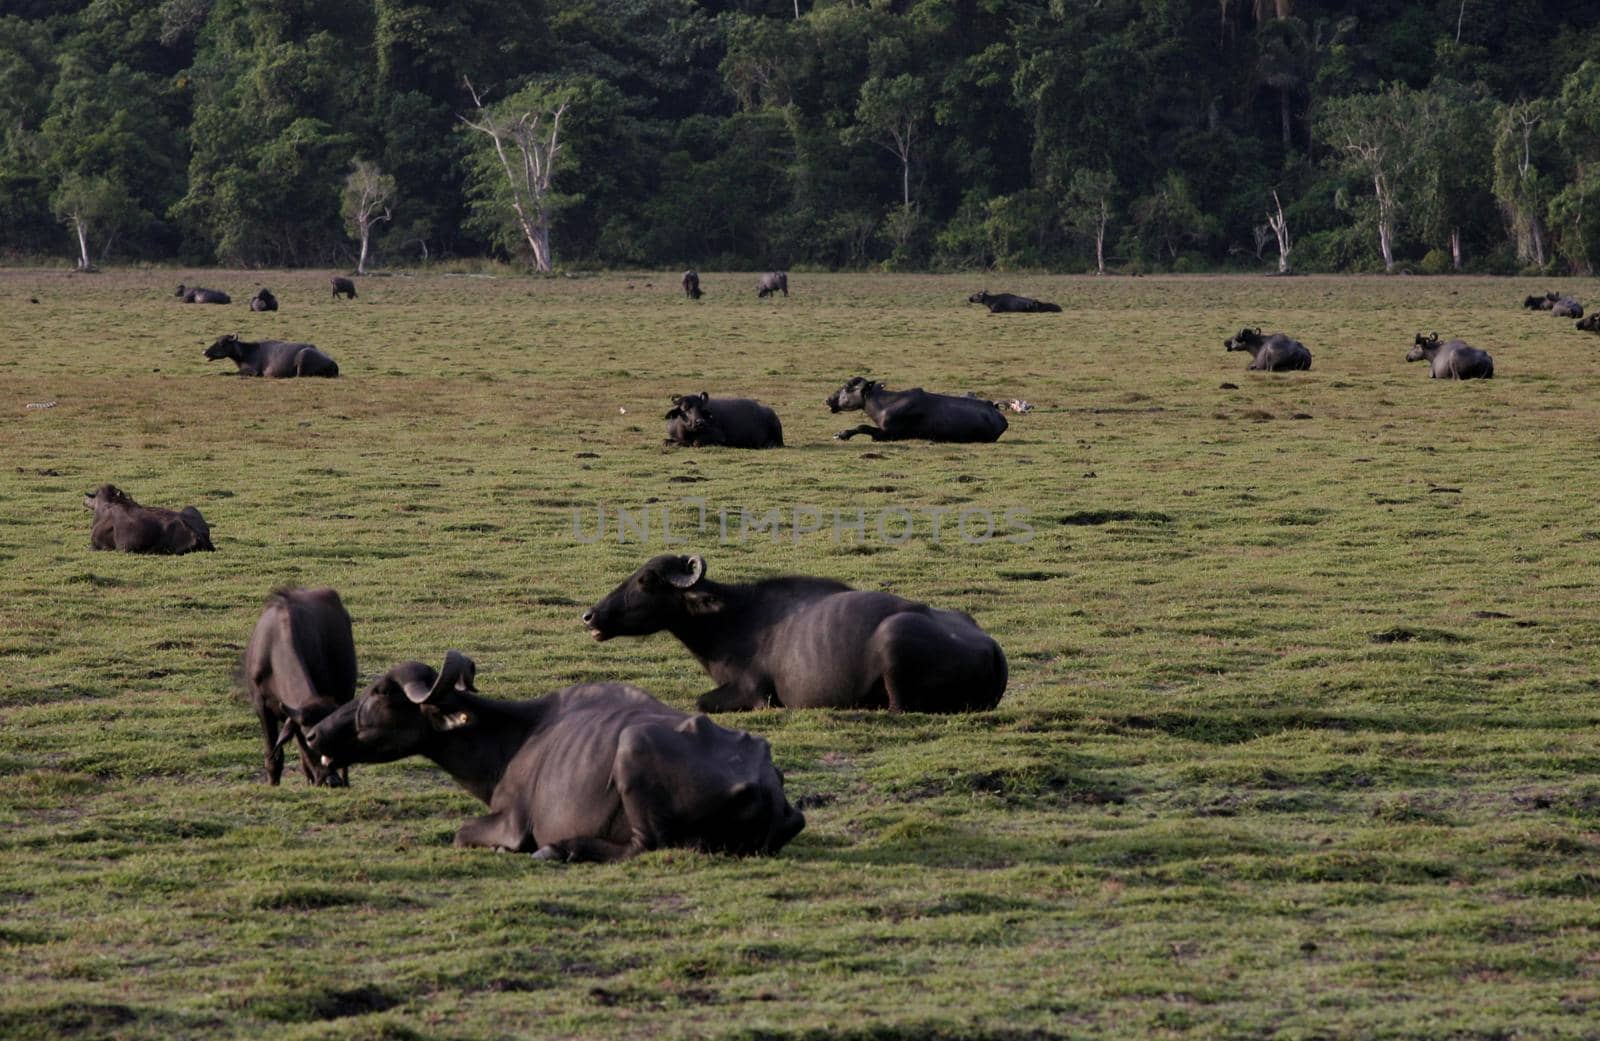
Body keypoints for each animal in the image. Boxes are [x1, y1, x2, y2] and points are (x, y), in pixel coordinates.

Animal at [204, 334, 339, 378]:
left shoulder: (253, 372)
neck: (247, 352)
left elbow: (228, 373)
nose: (204, 352)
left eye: (222, 343)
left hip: (303, 355)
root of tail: (332, 362)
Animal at [300, 652, 806, 863]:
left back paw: (562, 849)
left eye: (381, 692)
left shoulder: (511, 821)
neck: (512, 740)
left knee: (644, 847)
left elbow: (463, 834)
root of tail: (762, 783)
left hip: (633, 747)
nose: (314, 733)